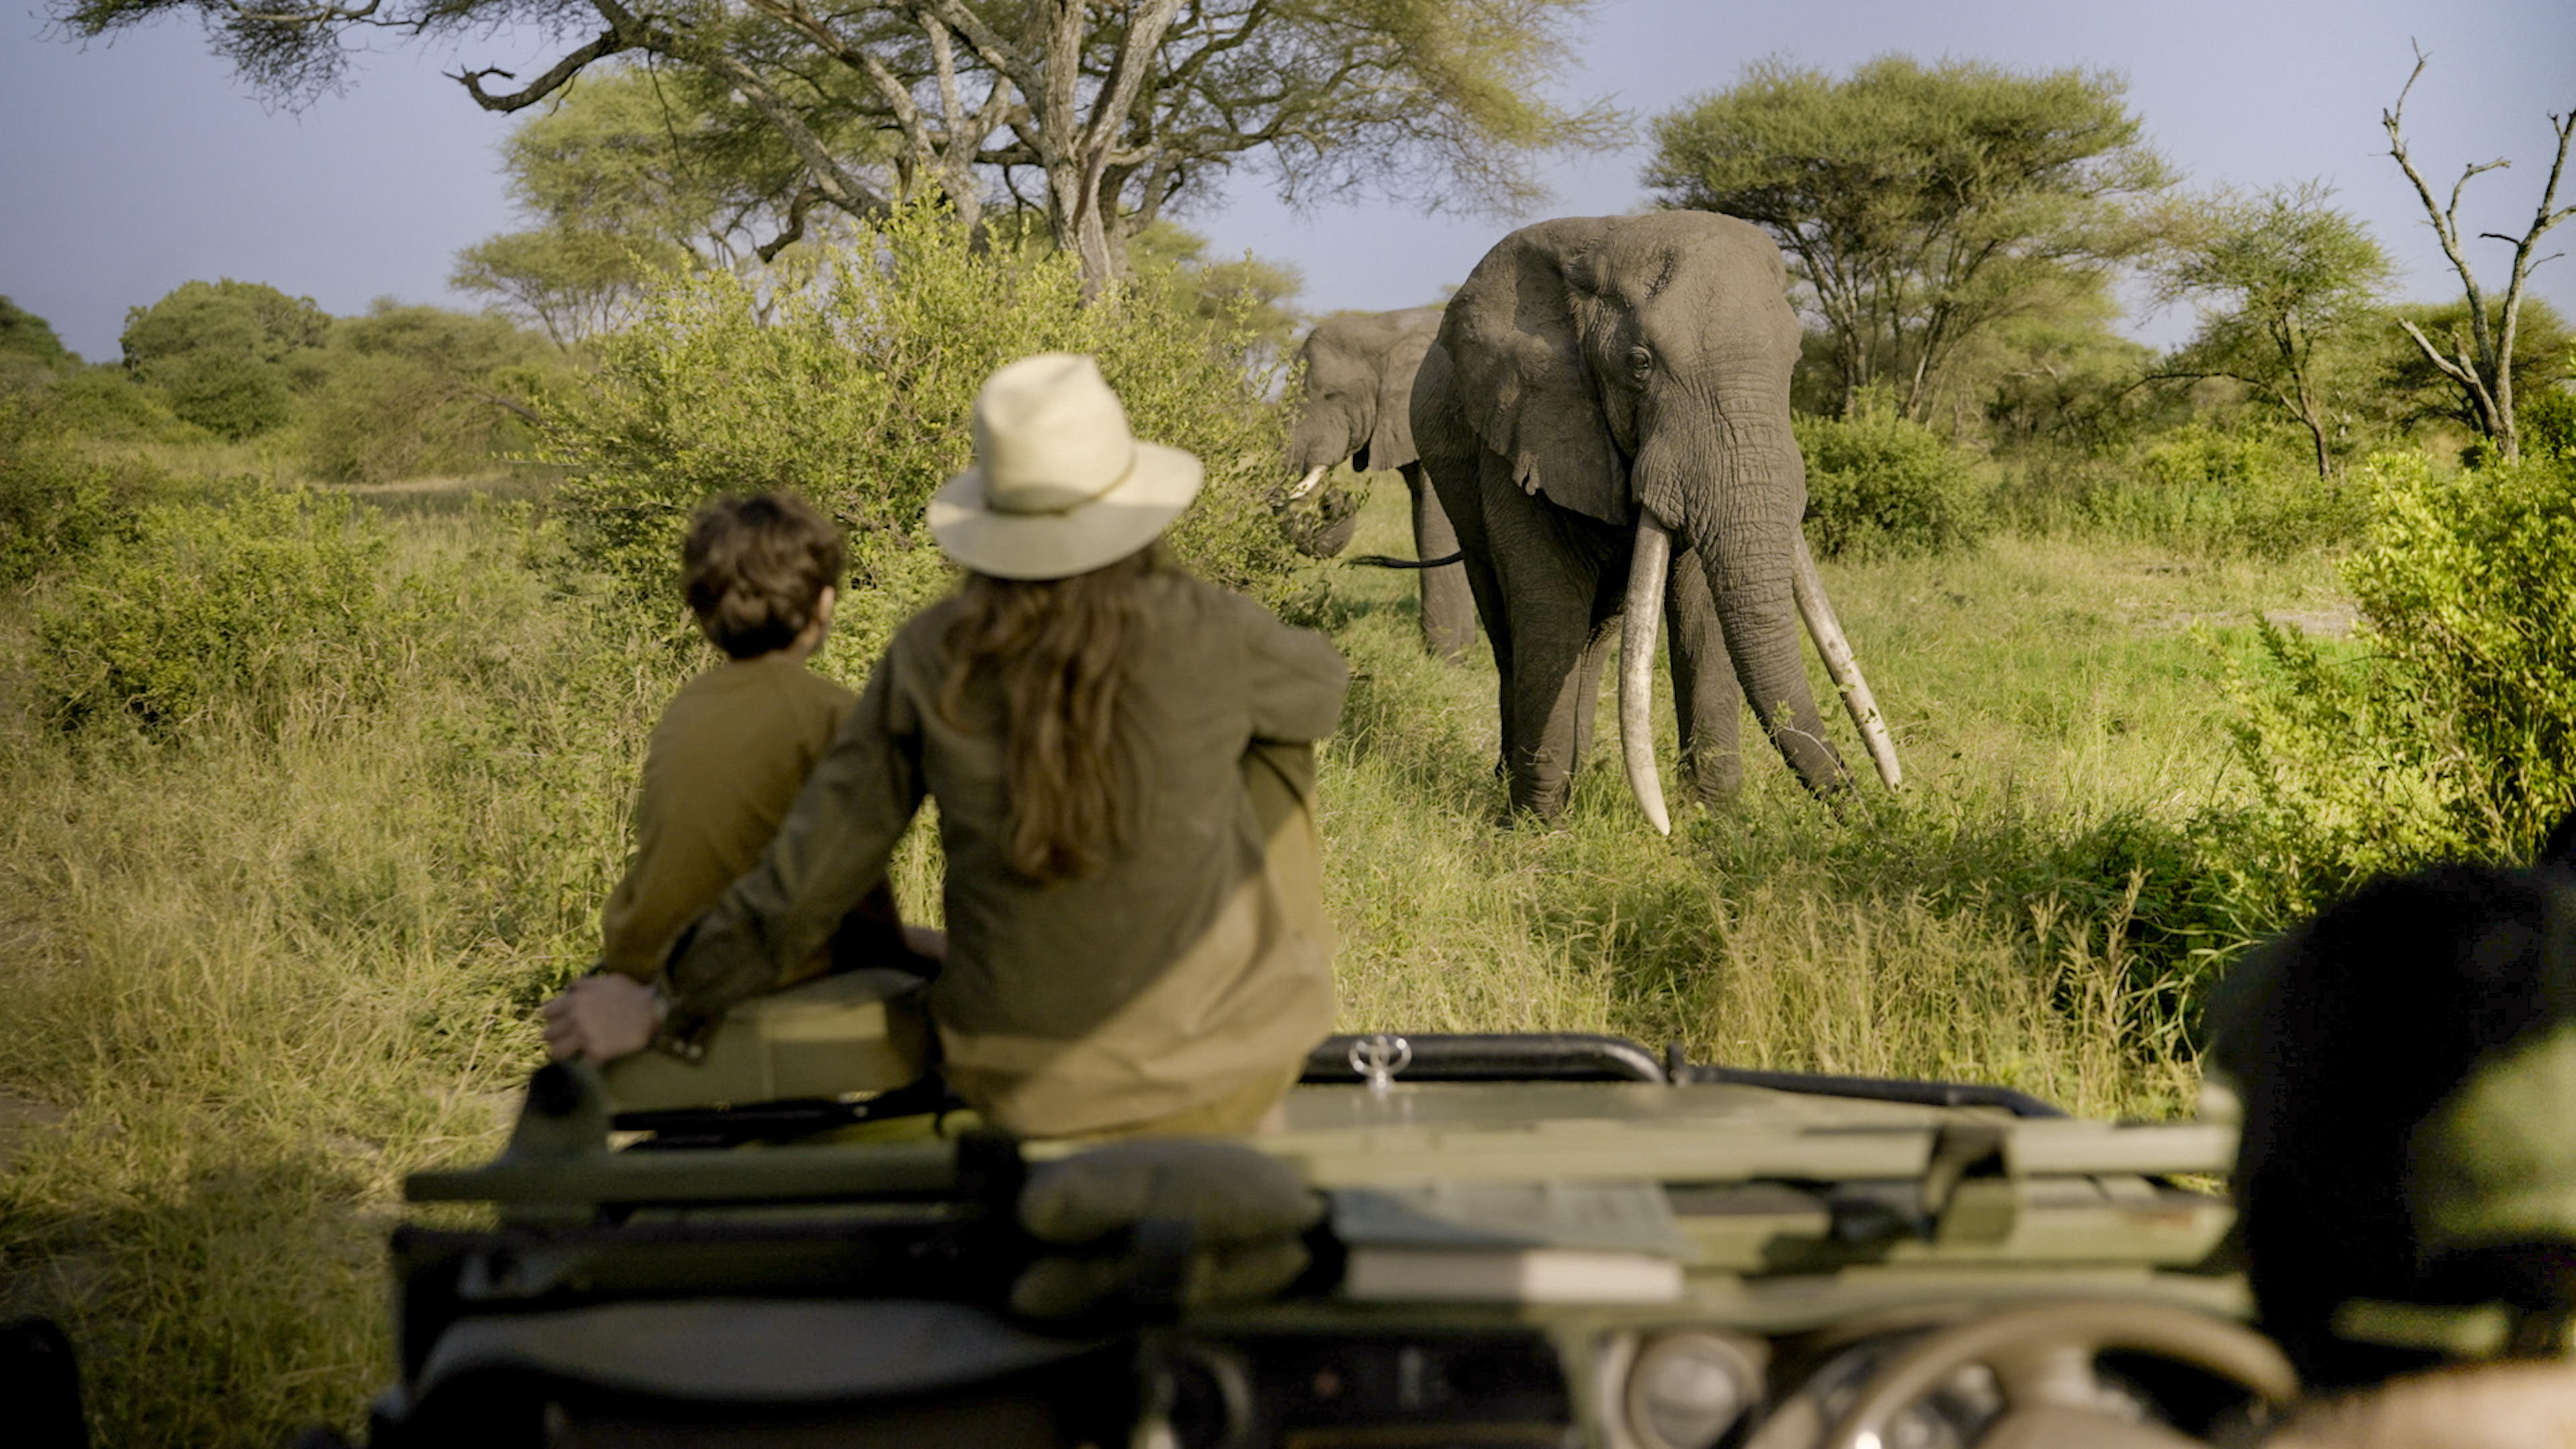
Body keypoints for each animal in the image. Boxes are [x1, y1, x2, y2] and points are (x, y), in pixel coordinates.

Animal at [1274, 307, 1477, 660]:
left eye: (1331, 395)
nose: (1334, 498)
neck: (1388, 327)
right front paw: (1461, 653)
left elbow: (1437, 526)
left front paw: (1446, 659)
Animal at [1411, 211, 1901, 831]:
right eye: (1639, 365)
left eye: (1793, 362)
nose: (1877, 808)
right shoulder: (1519, 422)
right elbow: (1548, 602)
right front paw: (1537, 831)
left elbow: (1701, 608)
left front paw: (1716, 823)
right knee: (1508, 623)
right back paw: (1518, 783)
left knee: (1599, 635)